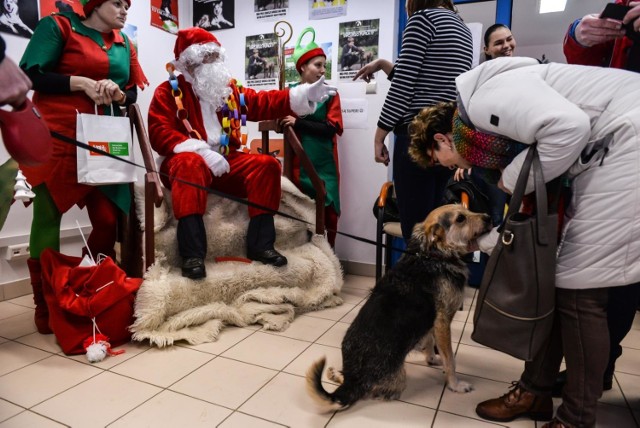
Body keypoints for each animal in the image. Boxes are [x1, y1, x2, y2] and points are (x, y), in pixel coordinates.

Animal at [304, 206, 490, 412]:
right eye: (460, 218)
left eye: (466, 210)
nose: (489, 218)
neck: (432, 254)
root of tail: (354, 379)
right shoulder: (442, 322)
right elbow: (450, 360)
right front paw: (455, 385)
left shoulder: (431, 321)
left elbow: (429, 342)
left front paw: (432, 359)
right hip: (399, 379)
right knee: (372, 392)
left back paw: (336, 374)